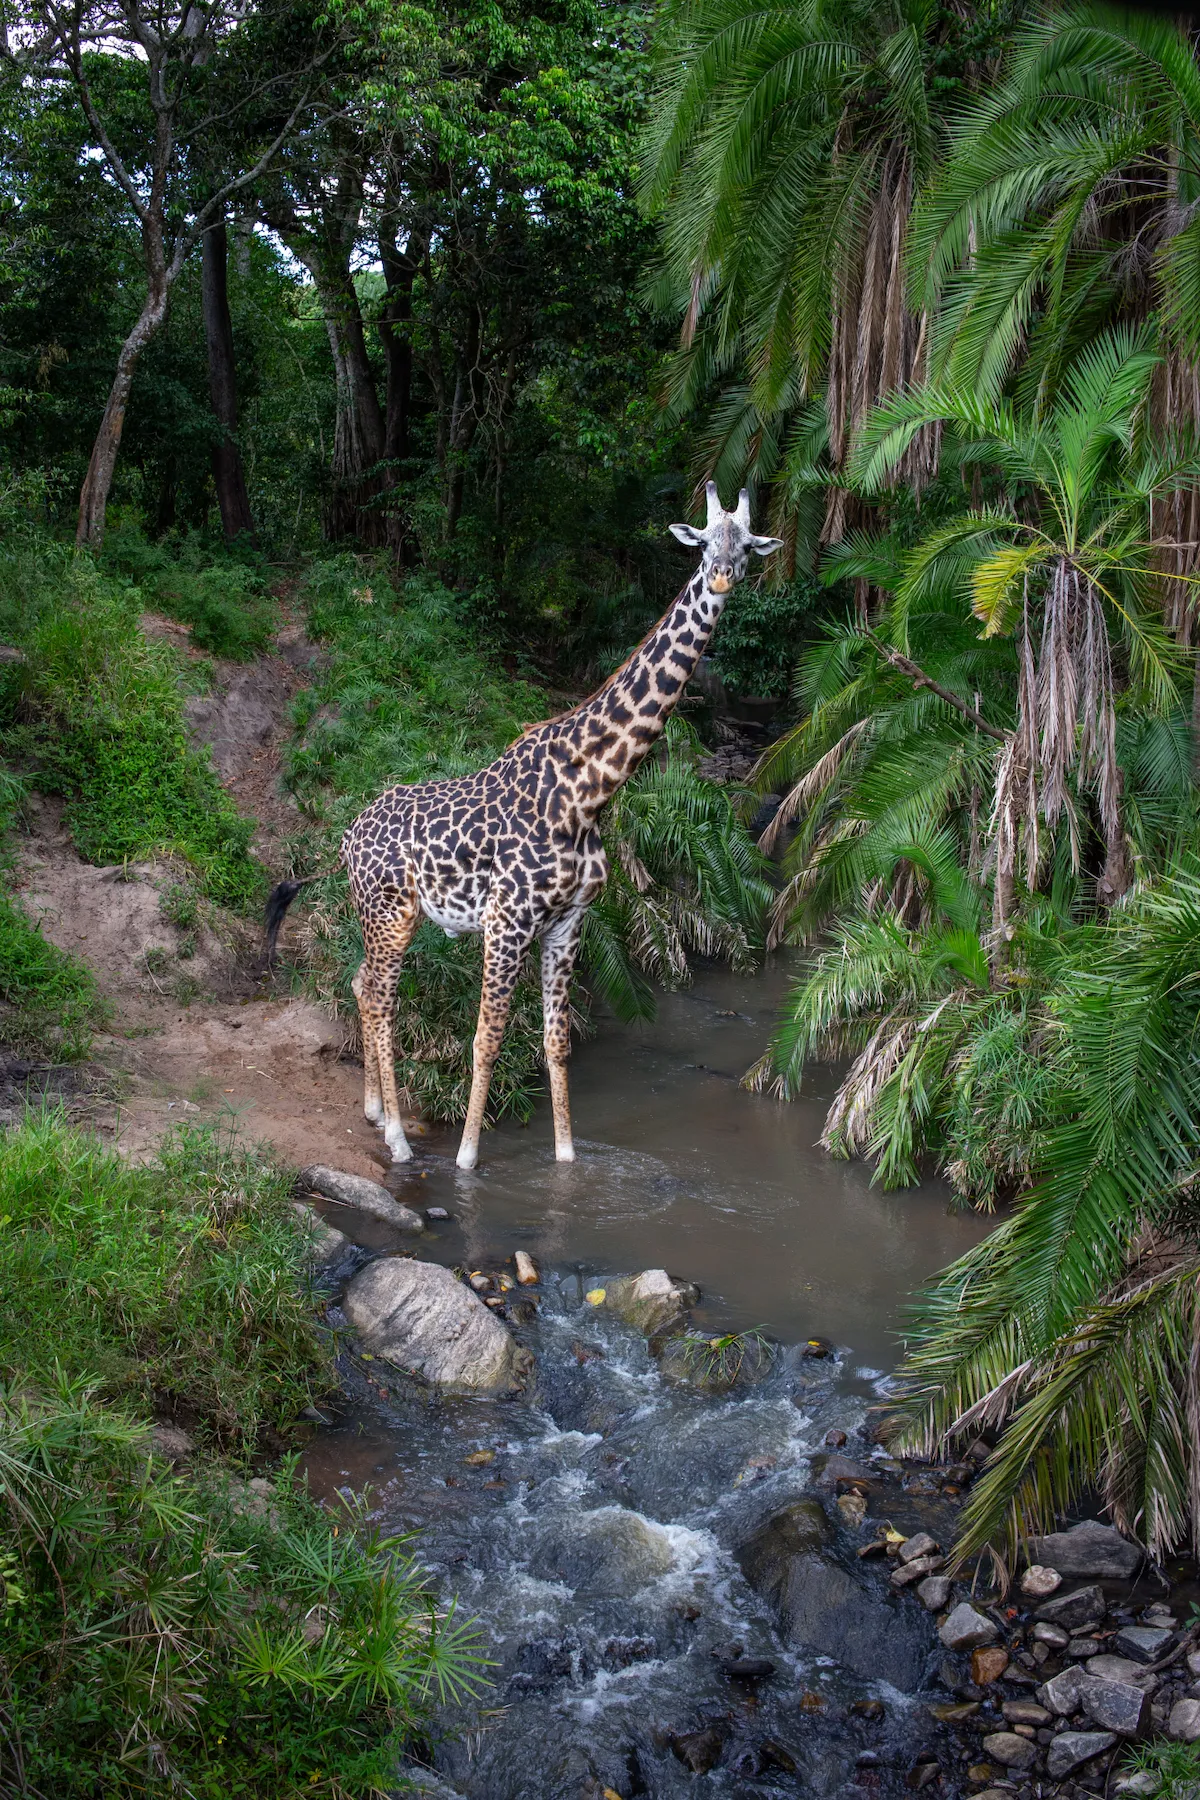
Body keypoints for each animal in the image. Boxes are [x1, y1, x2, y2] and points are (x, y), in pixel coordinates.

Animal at [265, 484, 782, 1170]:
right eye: (702, 544)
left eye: (747, 545)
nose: (722, 576)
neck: (590, 790)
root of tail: (346, 837)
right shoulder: (506, 922)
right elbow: (487, 1038)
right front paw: (465, 1160)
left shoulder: (568, 922)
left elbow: (556, 1041)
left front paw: (565, 1158)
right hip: (391, 915)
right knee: (379, 999)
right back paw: (399, 1138)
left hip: (383, 915)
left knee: (359, 983)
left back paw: (376, 1112)